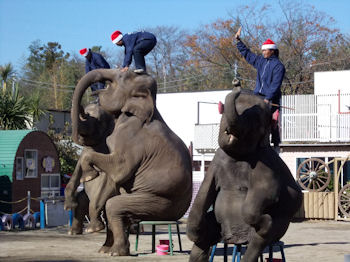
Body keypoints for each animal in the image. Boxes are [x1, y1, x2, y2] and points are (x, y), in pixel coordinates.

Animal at [63, 103, 117, 234]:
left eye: (99, 121)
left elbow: (107, 182)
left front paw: (94, 229)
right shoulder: (84, 152)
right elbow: (76, 174)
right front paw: (68, 206)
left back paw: (92, 229)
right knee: (82, 200)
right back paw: (73, 232)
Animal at [70, 69, 193, 256]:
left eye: (122, 76)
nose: (92, 97)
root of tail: (175, 217)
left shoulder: (131, 141)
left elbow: (119, 170)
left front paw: (92, 229)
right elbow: (112, 179)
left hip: (158, 204)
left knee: (114, 207)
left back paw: (116, 252)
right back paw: (106, 250)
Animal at [187, 86, 302, 262]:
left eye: (255, 121)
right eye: (223, 114)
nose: (236, 84)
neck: (237, 156)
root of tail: (235, 239)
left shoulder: (265, 161)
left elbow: (268, 191)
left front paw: (265, 221)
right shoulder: (217, 159)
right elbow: (204, 191)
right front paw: (195, 230)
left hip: (280, 224)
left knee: (259, 240)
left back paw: (263, 227)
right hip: (218, 226)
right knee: (201, 245)